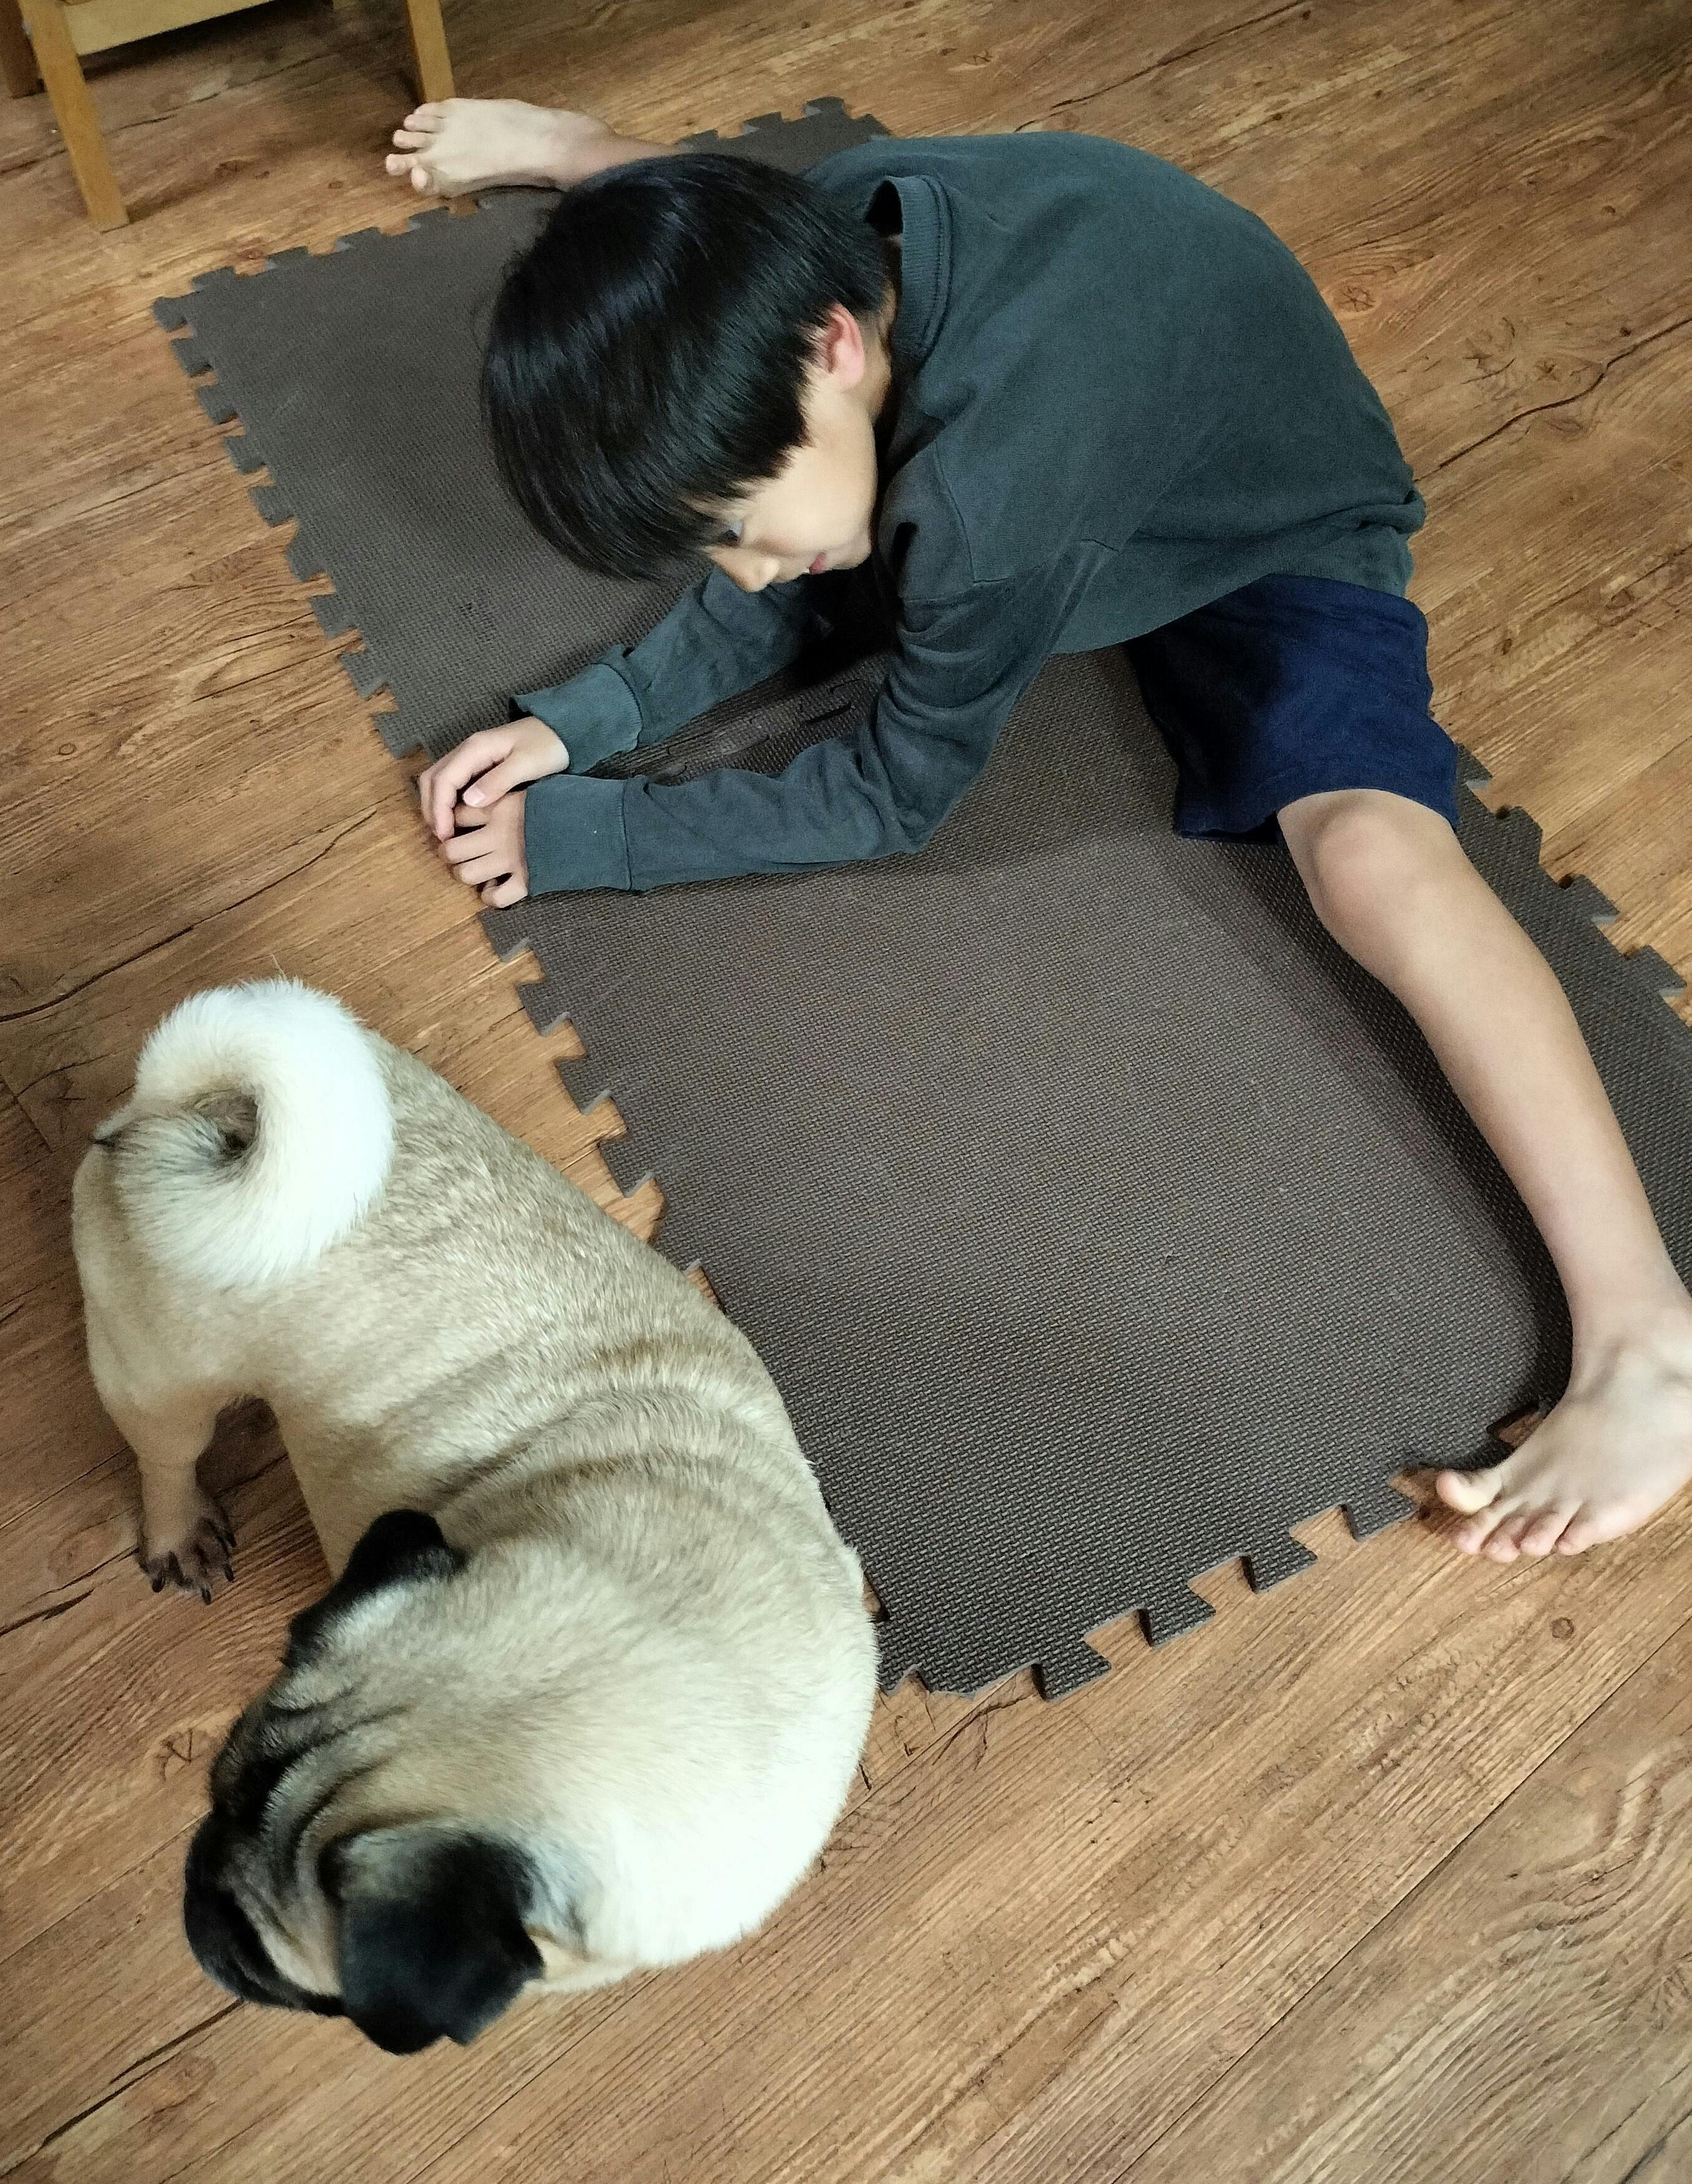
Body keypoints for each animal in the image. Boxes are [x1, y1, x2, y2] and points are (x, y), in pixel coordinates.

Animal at [73, 980, 876, 2053]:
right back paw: (180, 1528)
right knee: (166, 1456)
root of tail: (200, 1112)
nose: (197, 1886)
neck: (669, 1618)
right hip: (161, 1378)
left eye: (259, 1955)